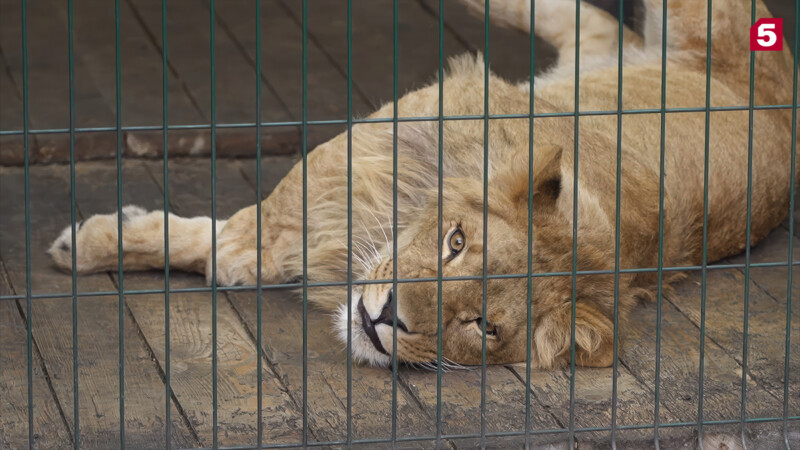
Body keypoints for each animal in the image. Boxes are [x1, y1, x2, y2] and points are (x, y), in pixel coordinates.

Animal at [51, 0, 800, 370]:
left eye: (483, 327)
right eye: (454, 242)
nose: (385, 319)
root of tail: (782, 104)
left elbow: (238, 245)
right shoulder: (387, 137)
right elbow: (257, 226)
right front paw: (97, 245)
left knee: (591, 23)